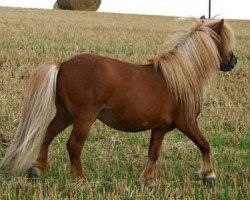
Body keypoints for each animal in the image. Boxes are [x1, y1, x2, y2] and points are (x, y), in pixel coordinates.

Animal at [0, 18, 236, 185]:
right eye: (223, 40)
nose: (234, 61)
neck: (180, 76)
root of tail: (63, 65)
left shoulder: (159, 128)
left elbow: (153, 153)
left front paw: (148, 180)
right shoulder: (187, 123)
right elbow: (204, 144)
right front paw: (209, 175)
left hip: (66, 114)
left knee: (48, 134)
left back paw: (37, 169)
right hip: (84, 117)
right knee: (73, 145)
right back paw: (80, 180)